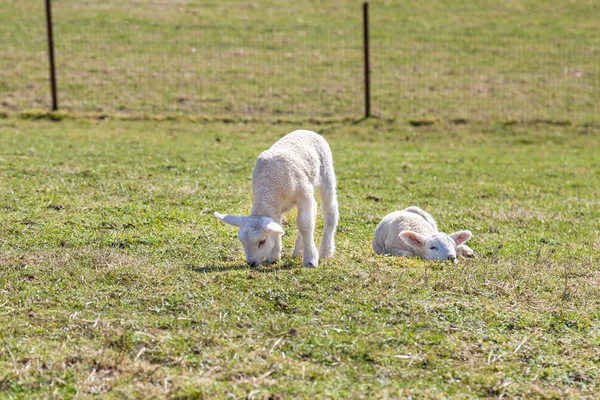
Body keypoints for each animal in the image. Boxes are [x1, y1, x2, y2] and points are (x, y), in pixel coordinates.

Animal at [214, 130, 338, 268]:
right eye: (241, 241)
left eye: (262, 241)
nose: (251, 263)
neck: (269, 185)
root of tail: (306, 130)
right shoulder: (276, 205)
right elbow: (278, 226)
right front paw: (273, 257)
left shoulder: (303, 193)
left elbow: (304, 224)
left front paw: (310, 260)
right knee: (314, 210)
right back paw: (298, 251)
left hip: (325, 172)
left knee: (329, 210)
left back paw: (326, 251)